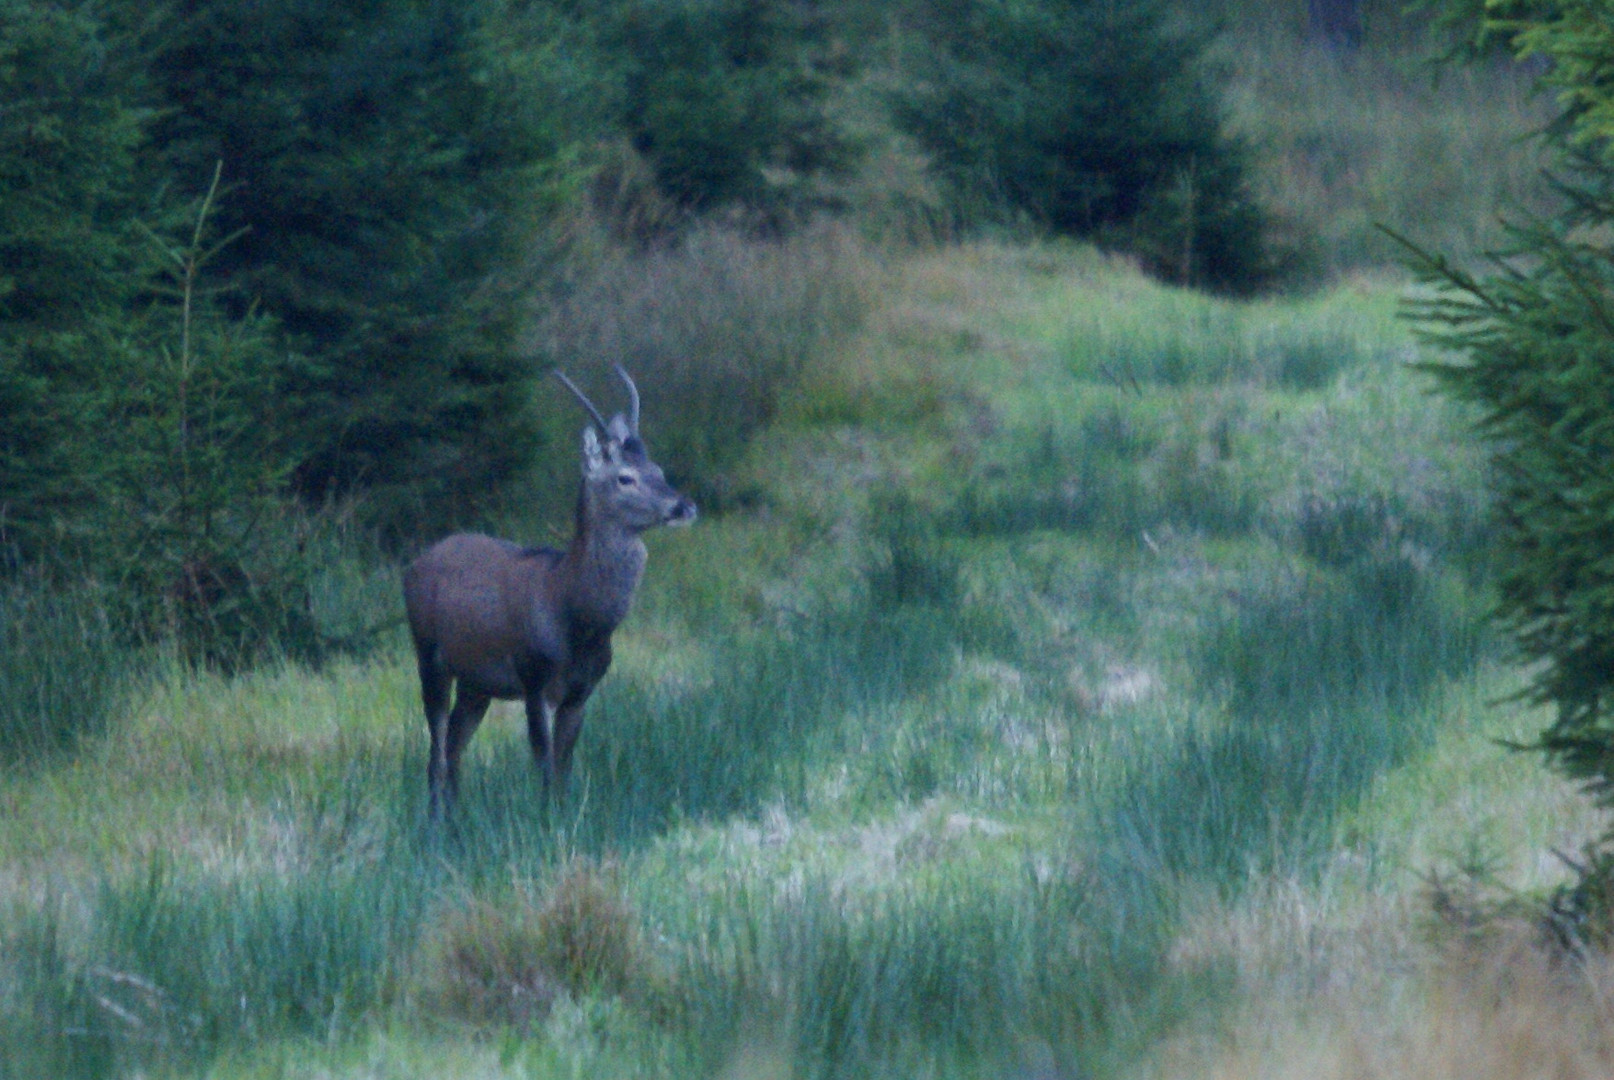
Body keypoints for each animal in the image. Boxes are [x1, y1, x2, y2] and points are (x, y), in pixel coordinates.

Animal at [403, 366, 694, 813]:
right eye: (625, 478)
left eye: (659, 471)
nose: (684, 506)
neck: (572, 615)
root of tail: (414, 564)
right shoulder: (534, 675)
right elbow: (543, 763)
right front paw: (546, 817)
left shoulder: (582, 690)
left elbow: (564, 767)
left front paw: (567, 810)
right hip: (429, 655)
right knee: (435, 749)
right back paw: (437, 818)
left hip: (476, 682)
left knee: (454, 745)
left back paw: (457, 815)